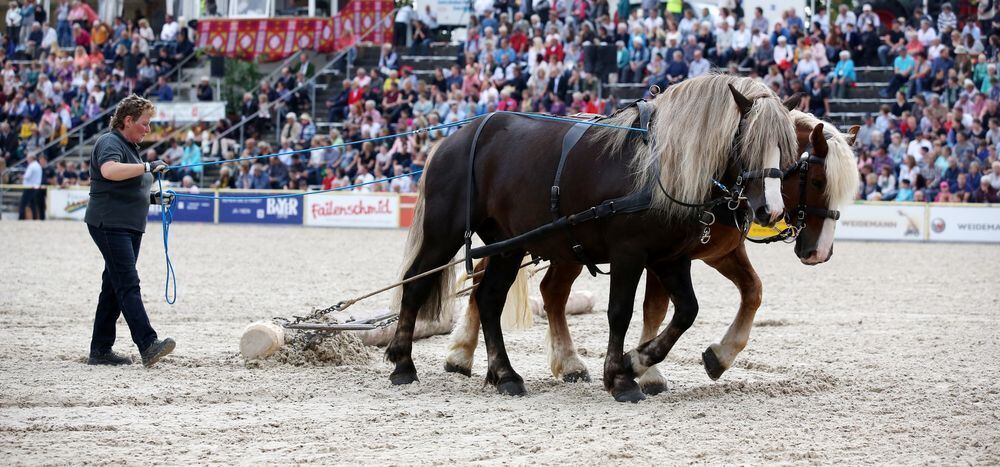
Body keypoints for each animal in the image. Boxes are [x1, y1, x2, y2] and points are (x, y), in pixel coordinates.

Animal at [382, 76, 796, 402]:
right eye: (748, 142)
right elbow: (620, 312)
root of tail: (454, 138)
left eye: (788, 151)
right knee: (415, 285)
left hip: (508, 246)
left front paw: (638, 361)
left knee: (488, 299)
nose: (770, 210)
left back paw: (505, 375)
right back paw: (403, 363)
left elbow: (686, 311)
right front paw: (620, 378)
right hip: (444, 233)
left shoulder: (670, 257)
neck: (657, 166)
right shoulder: (629, 252)